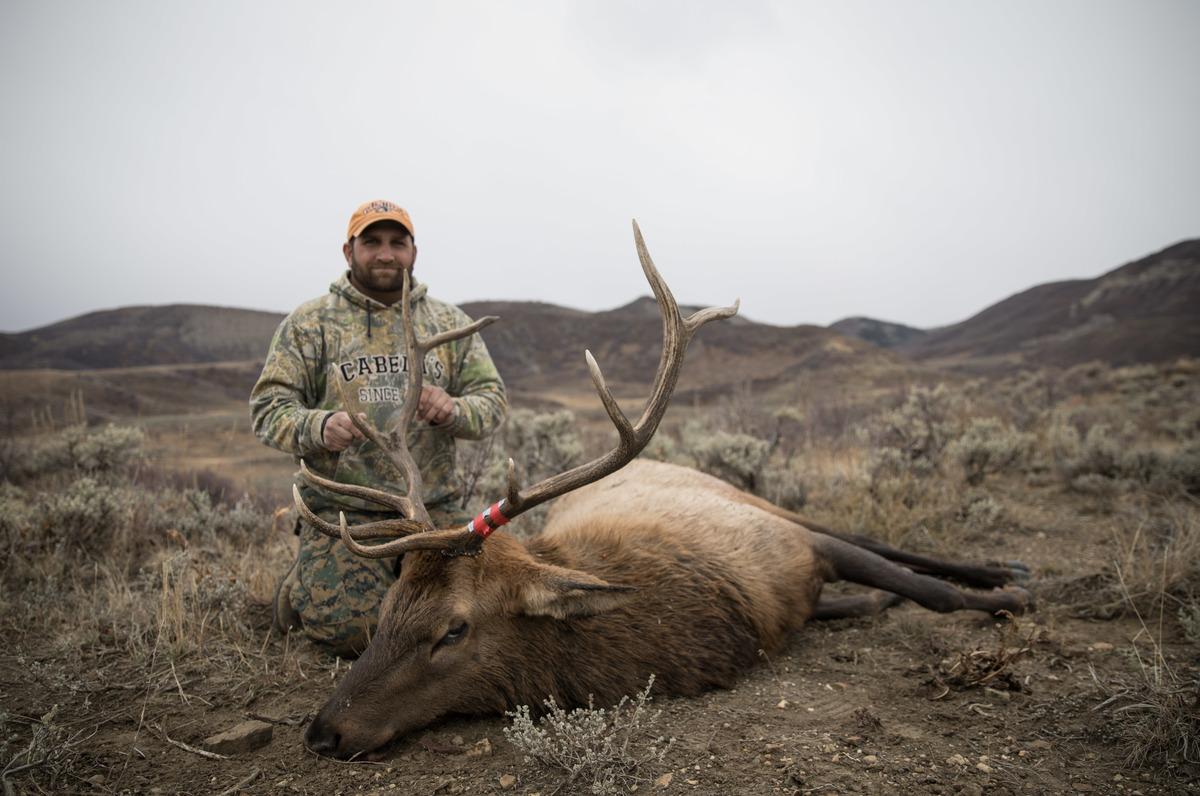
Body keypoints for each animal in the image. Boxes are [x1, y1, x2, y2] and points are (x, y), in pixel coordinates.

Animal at [292, 224, 1032, 758]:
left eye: (453, 629)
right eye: (388, 609)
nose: (323, 731)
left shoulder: (793, 544)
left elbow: (931, 592)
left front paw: (1007, 598)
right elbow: (872, 596)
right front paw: (884, 602)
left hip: (757, 501)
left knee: (871, 537)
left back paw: (1007, 570)